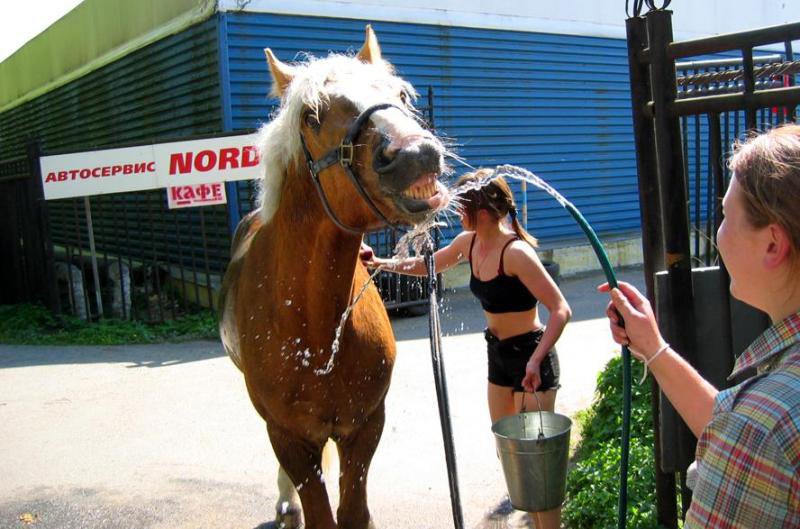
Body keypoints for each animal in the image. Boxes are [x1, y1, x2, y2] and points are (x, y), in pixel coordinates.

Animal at [219, 27, 450, 528]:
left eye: (402, 96)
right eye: (311, 115)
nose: (416, 154)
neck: (316, 333)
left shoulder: (364, 427)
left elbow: (353, 512)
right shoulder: (289, 436)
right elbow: (321, 511)